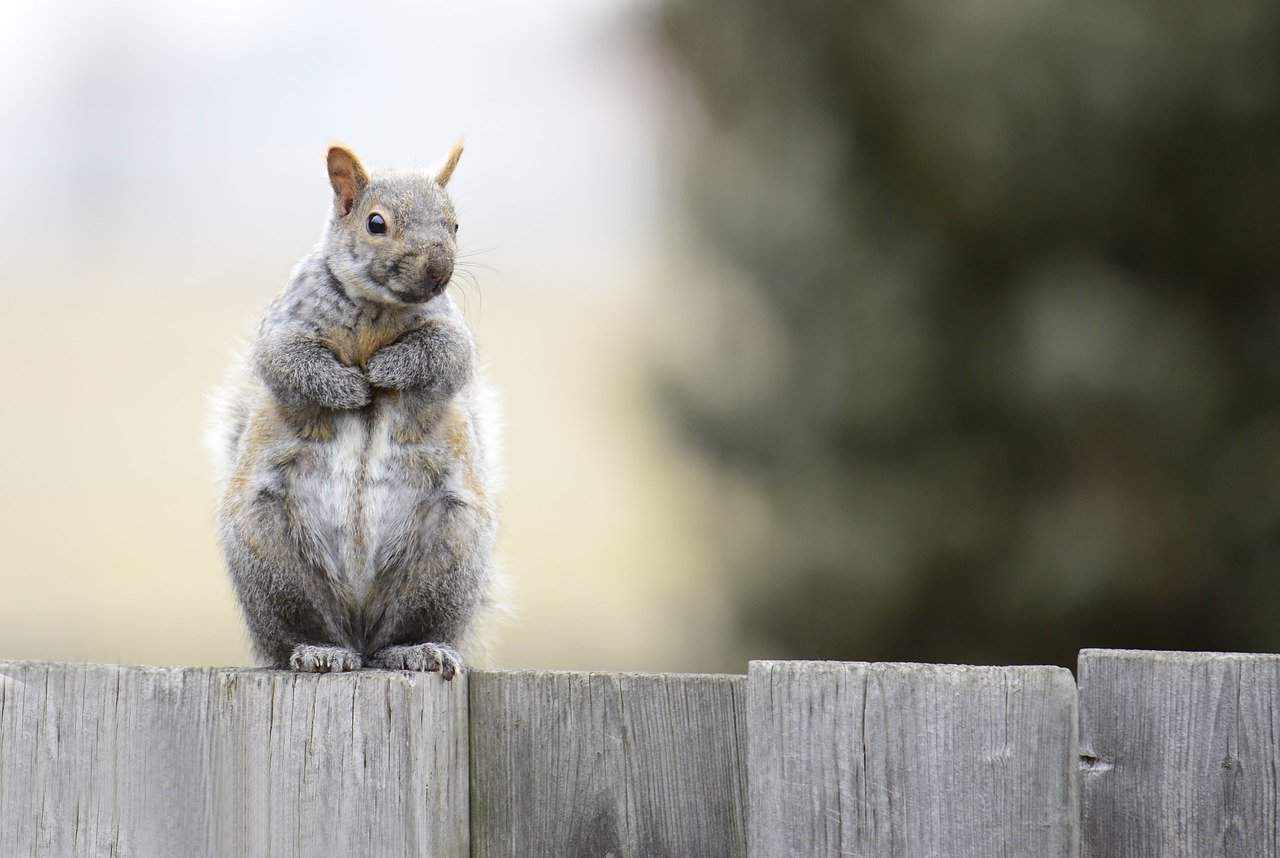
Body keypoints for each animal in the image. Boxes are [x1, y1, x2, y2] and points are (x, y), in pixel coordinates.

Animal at [204, 140, 499, 681]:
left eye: (454, 224)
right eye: (375, 223)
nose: (438, 271)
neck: (376, 311)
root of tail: (359, 625)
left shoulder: (451, 335)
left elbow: (445, 354)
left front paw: (386, 369)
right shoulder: (283, 327)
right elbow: (287, 362)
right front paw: (349, 388)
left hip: (449, 553)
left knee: (399, 633)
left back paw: (417, 650)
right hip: (270, 557)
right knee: (300, 632)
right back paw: (319, 651)